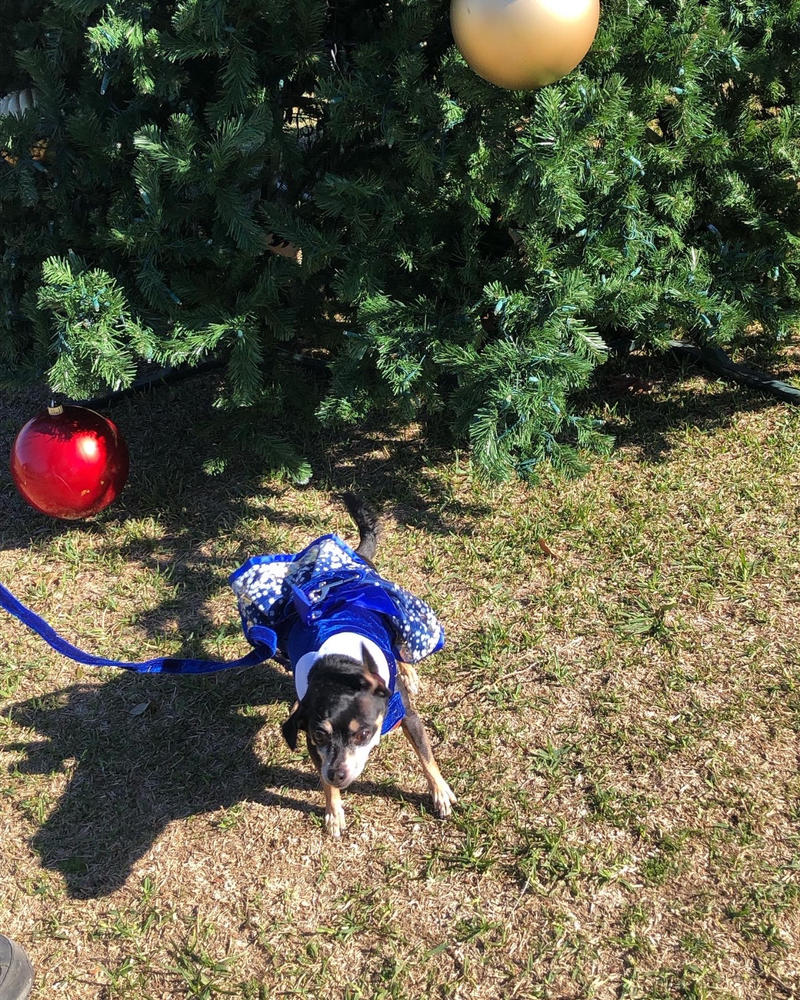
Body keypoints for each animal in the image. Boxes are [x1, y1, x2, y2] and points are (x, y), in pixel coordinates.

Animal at [231, 494, 456, 836]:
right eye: (320, 736)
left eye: (363, 734)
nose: (337, 773)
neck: (342, 669)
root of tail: (356, 557)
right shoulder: (314, 744)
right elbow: (323, 782)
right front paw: (333, 811)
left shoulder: (409, 718)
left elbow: (427, 757)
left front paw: (440, 792)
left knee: (401, 648)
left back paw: (408, 671)